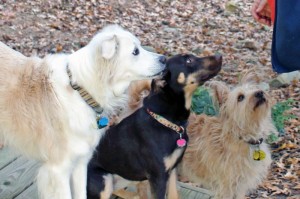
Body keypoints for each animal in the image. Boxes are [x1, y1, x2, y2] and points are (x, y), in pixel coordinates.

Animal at [85, 53, 221, 199]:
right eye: (188, 60)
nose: (219, 55)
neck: (167, 121)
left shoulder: (172, 169)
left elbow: (174, 194)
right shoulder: (158, 177)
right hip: (104, 180)